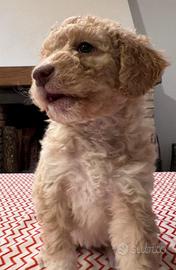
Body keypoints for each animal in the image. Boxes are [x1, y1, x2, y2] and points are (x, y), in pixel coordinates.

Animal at [29, 15, 168, 268]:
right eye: (47, 53)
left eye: (85, 47)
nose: (38, 73)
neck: (93, 132)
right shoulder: (52, 190)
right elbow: (58, 245)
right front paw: (56, 261)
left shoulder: (130, 195)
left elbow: (135, 249)